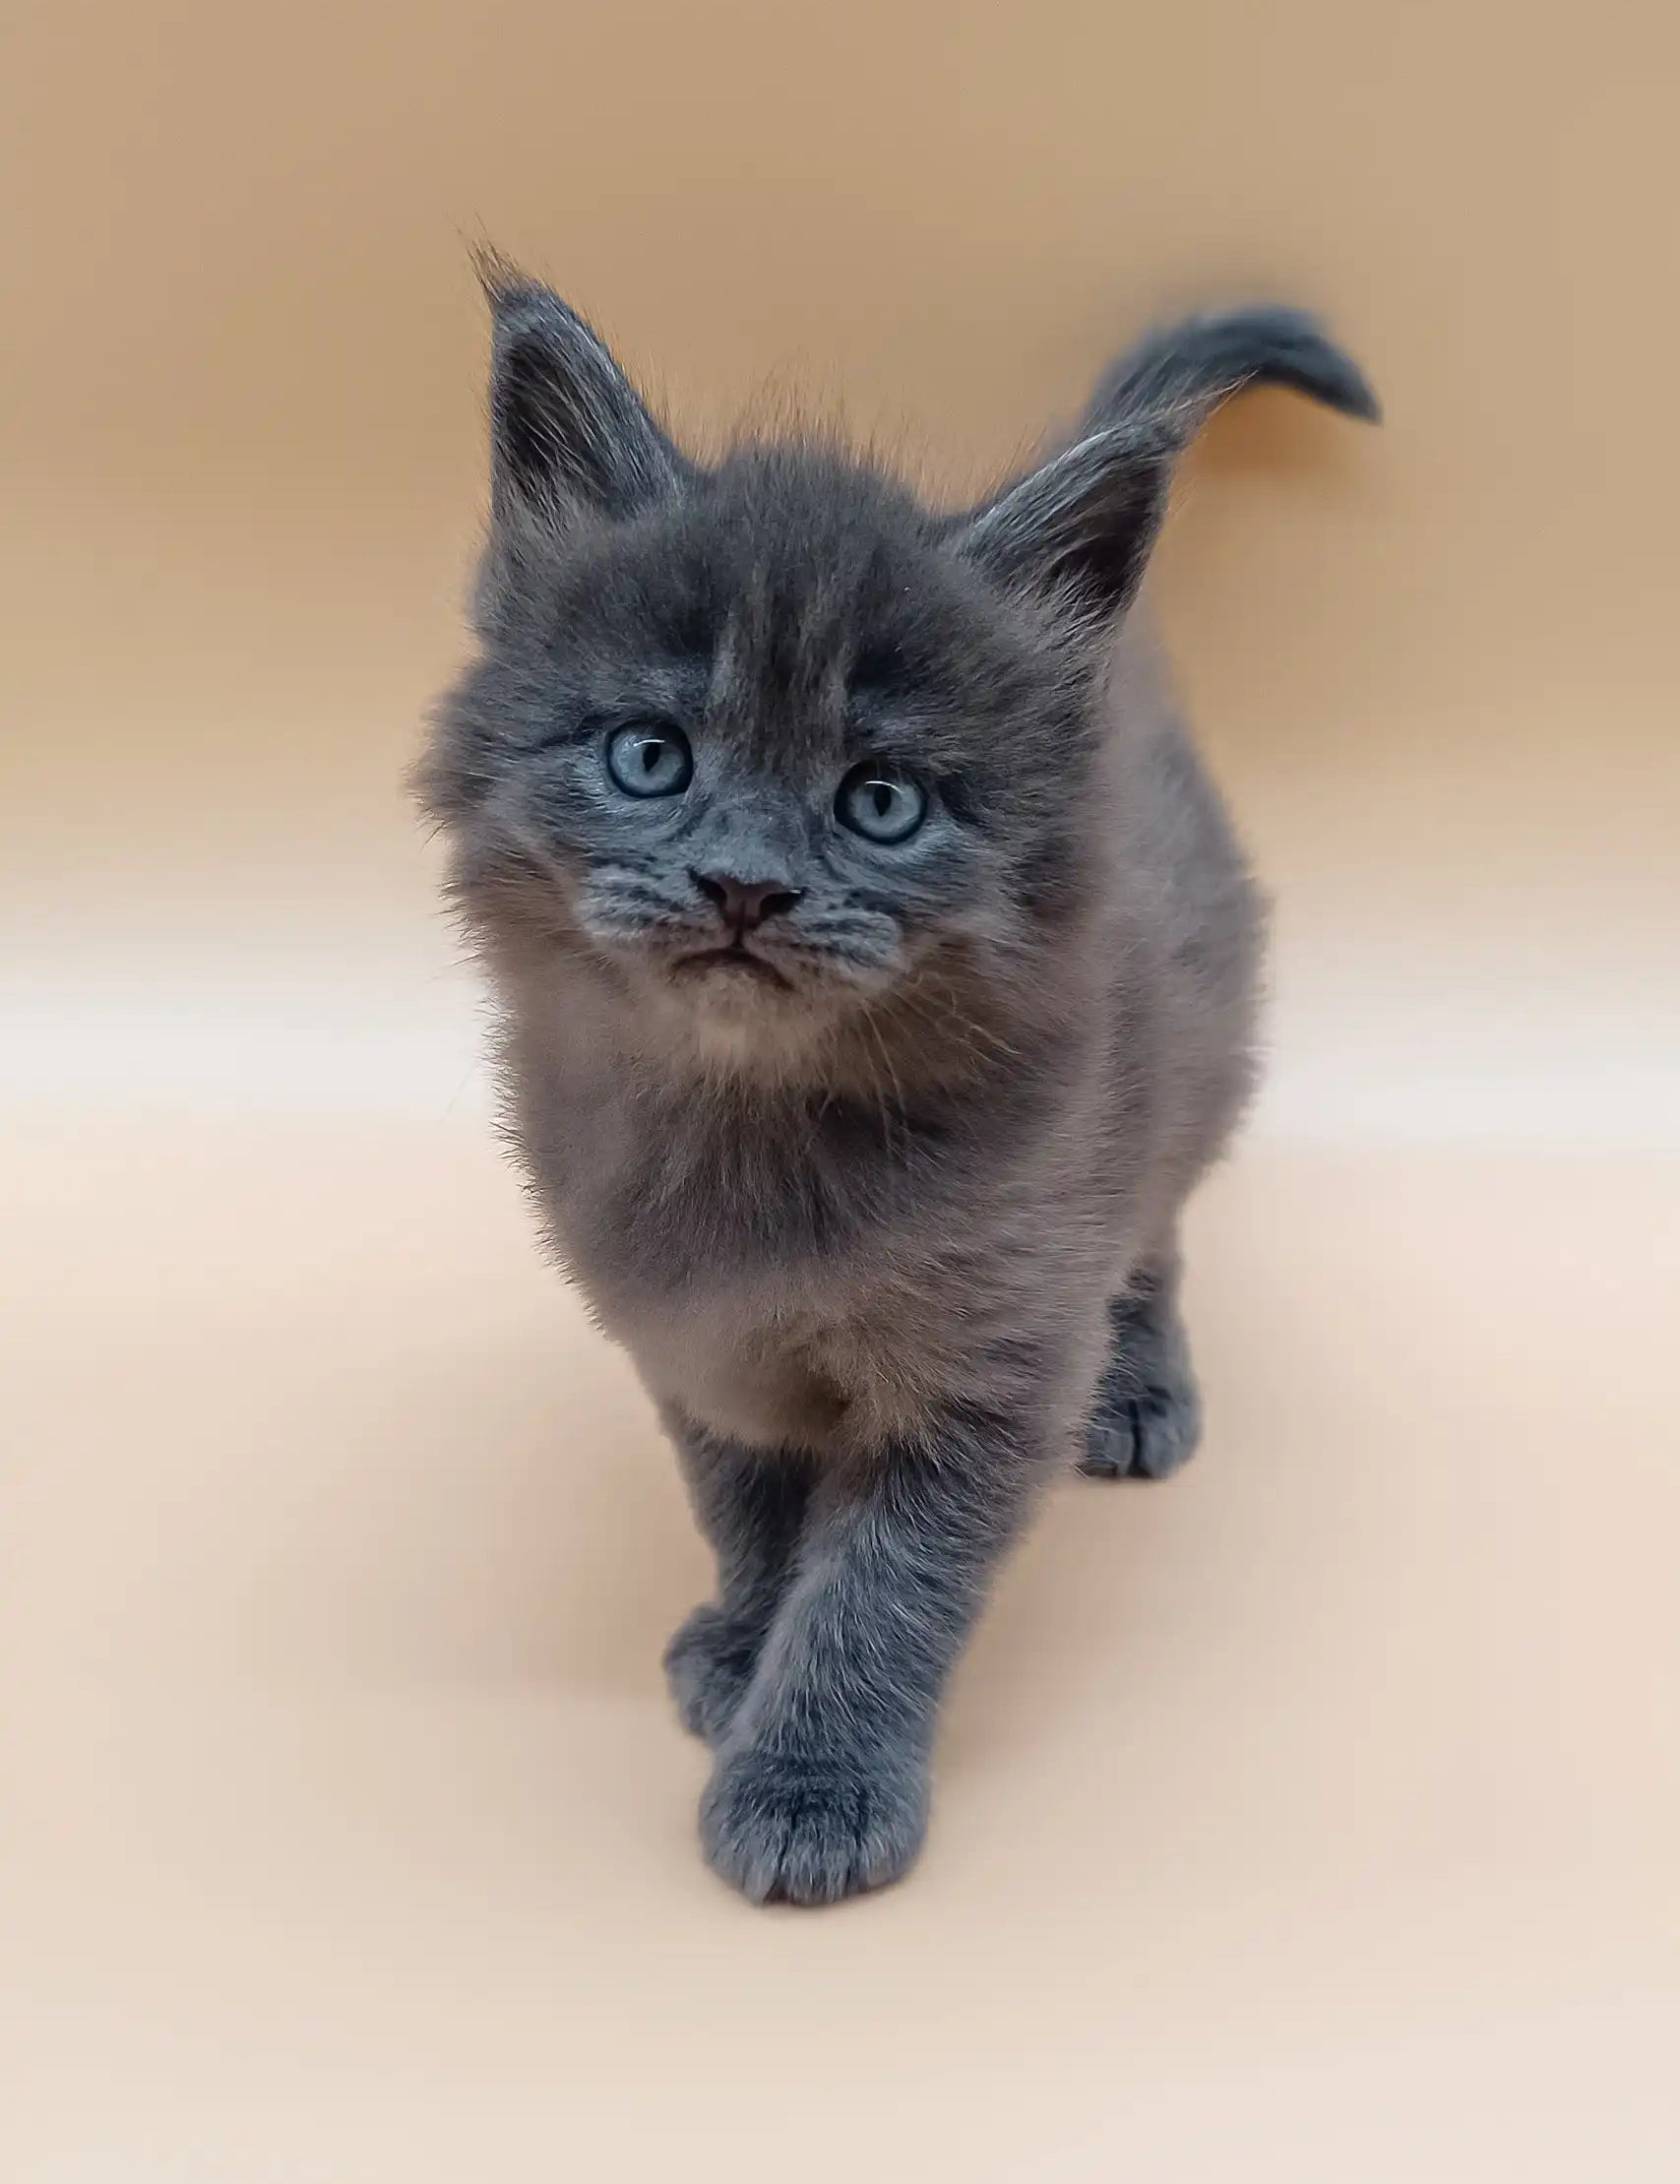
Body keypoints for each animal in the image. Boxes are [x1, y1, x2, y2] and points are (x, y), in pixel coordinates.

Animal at [412, 268, 1372, 1912]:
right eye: (650, 756)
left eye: (878, 801)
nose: (742, 885)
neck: (753, 1137)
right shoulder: (691, 1337)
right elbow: (744, 1510)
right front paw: (743, 1643)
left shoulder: (985, 1359)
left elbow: (877, 1585)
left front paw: (809, 1782)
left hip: (1180, 1061)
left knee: (1153, 1225)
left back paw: (1137, 1386)